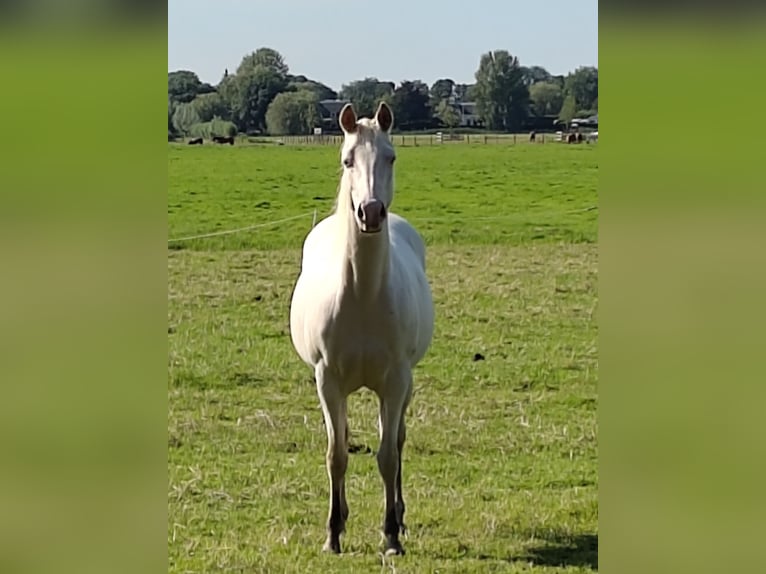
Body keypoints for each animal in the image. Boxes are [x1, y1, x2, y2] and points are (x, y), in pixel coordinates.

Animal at [292, 102, 436, 560]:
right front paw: (333, 533)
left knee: (398, 439)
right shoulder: (327, 380)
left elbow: (388, 455)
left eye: (391, 156)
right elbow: (336, 454)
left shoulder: (396, 380)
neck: (361, 296)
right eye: (347, 160)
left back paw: (400, 517)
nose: (370, 213)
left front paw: (390, 535)